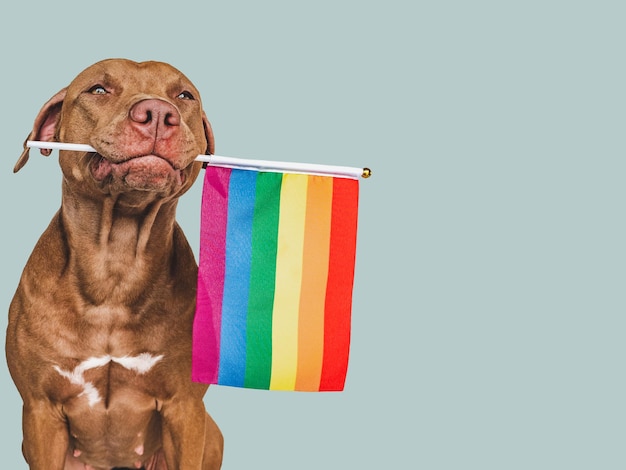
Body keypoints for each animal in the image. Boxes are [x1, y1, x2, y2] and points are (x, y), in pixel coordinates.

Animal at [6, 58, 224, 470]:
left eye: (184, 95)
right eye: (98, 90)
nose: (158, 113)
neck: (116, 264)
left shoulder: (185, 410)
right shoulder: (41, 412)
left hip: (211, 431)